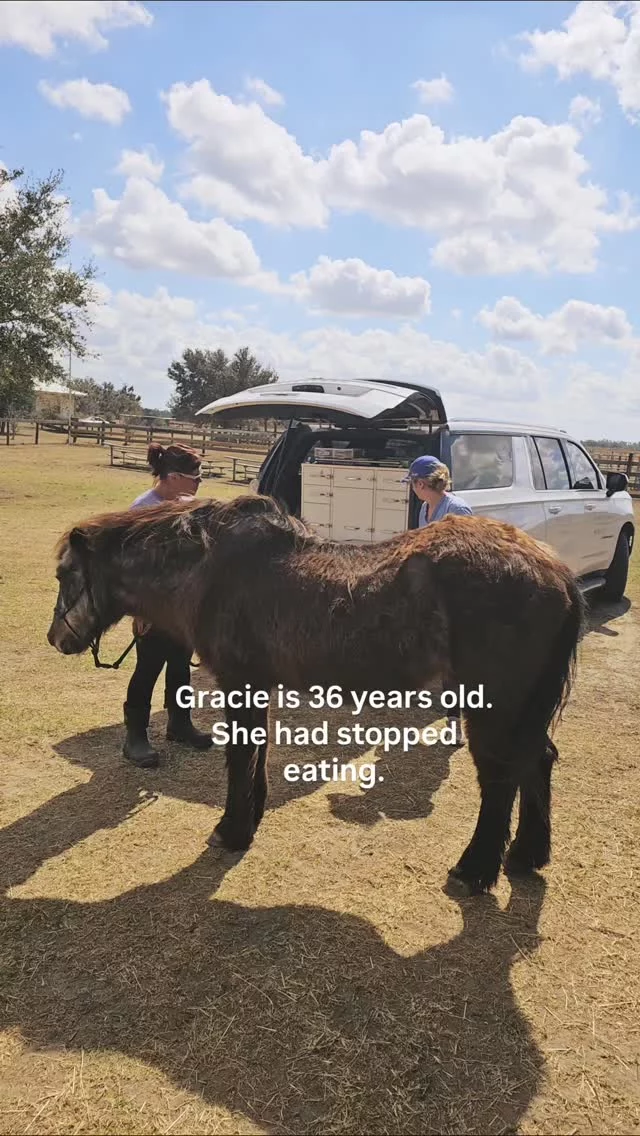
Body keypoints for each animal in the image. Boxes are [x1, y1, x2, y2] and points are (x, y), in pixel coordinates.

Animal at [47, 493, 584, 894]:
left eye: (64, 574)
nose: (57, 638)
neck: (212, 570)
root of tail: (556, 569)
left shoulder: (238, 684)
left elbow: (239, 756)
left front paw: (231, 830)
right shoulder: (258, 687)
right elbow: (257, 753)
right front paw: (250, 819)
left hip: (494, 707)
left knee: (500, 778)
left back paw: (474, 871)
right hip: (524, 707)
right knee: (537, 762)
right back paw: (526, 855)